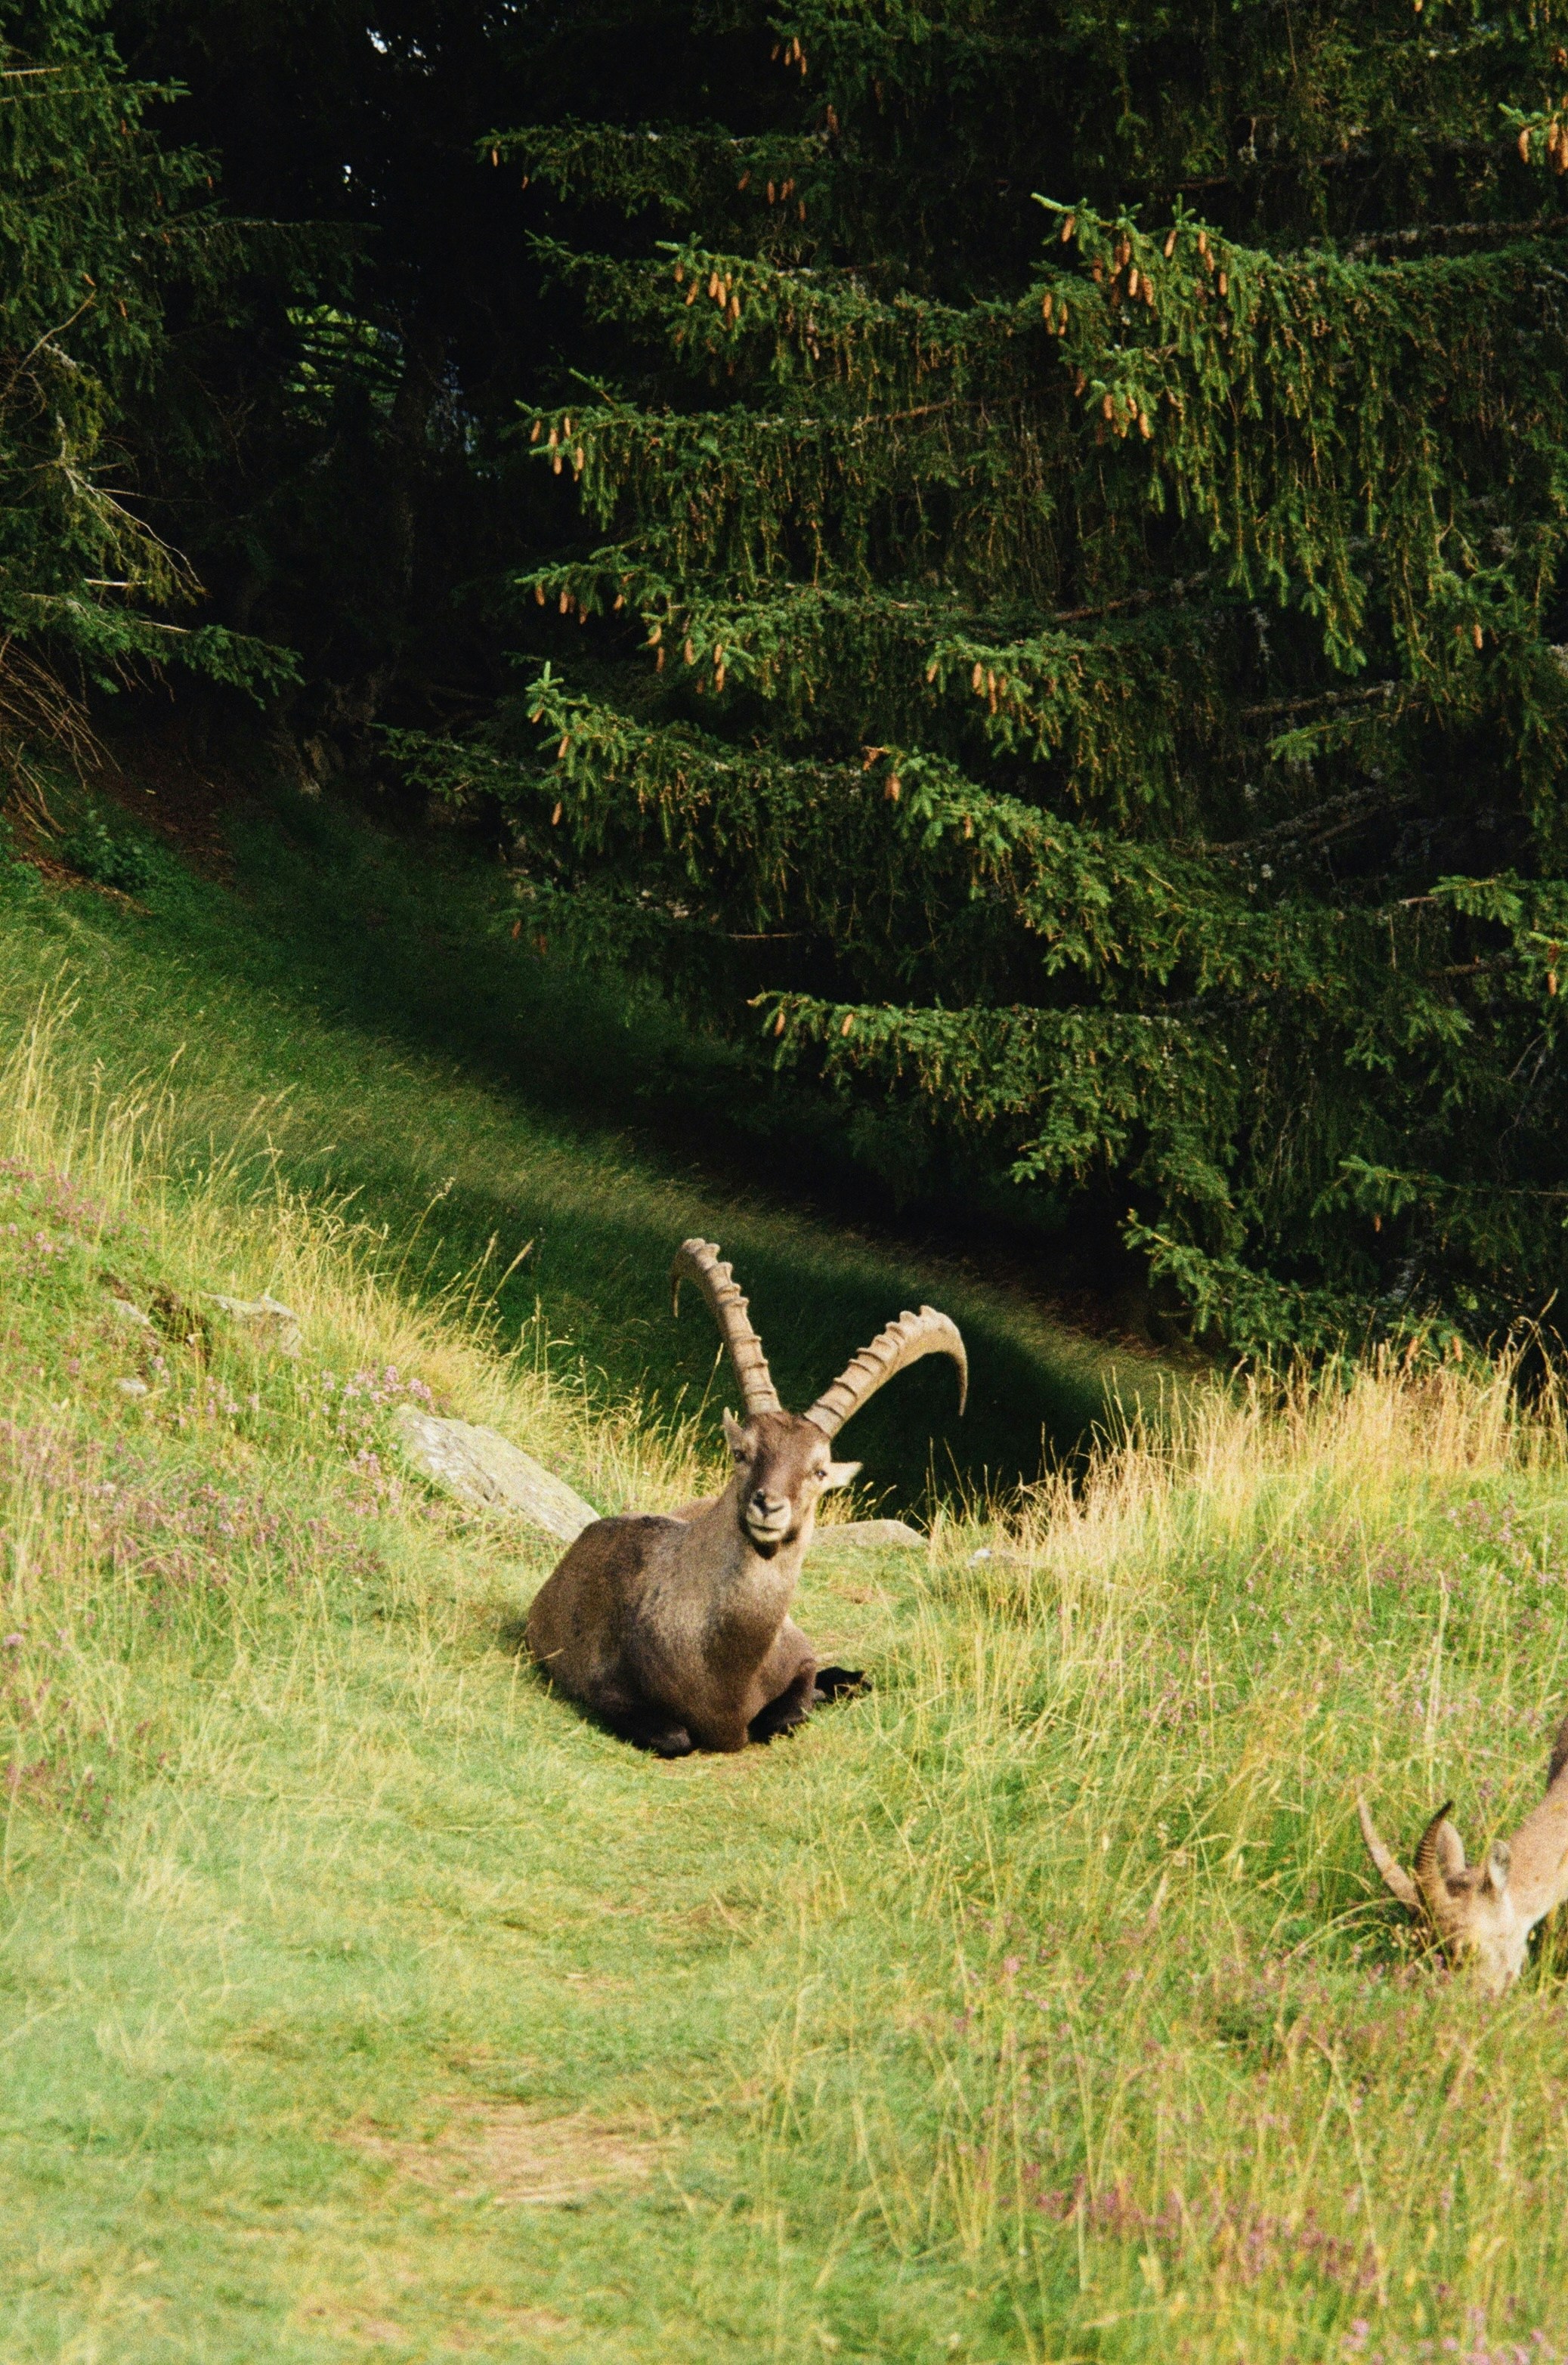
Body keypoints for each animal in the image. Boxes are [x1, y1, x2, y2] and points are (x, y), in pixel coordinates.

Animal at [526, 1238, 967, 1756]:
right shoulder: (605, 1685)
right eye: (741, 1452)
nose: (768, 1506)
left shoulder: (798, 1656)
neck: (724, 1667)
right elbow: (676, 1736)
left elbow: (790, 1711)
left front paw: (818, 1695)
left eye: (819, 1471)